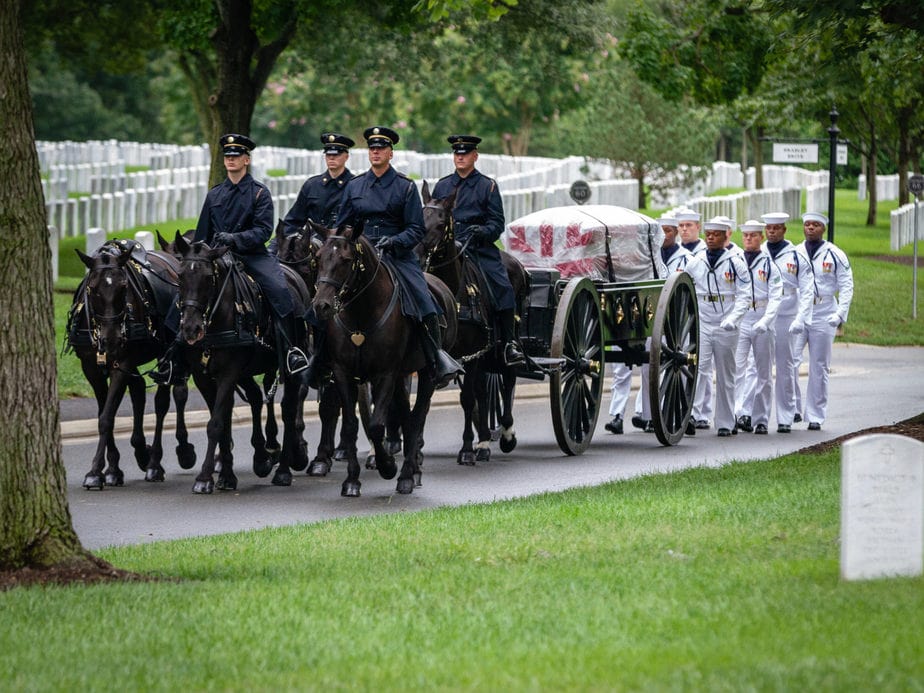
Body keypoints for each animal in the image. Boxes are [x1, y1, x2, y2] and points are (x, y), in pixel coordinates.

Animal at [69, 241, 198, 490]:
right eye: (93, 288)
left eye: (123, 287)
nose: (111, 339)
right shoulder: (91, 368)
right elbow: (104, 412)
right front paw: (112, 469)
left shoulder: (122, 363)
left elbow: (107, 416)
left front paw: (96, 471)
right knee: (139, 391)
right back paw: (142, 452)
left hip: (167, 353)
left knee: (162, 403)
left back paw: (156, 463)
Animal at [173, 232, 314, 492]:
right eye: (180, 275)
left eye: (208, 278)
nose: (190, 329)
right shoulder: (204, 377)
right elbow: (223, 422)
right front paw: (226, 475)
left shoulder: (228, 373)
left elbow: (215, 424)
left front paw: (205, 477)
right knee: (258, 398)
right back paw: (264, 457)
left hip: (289, 367)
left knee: (288, 409)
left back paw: (284, 469)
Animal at [308, 224, 456, 494]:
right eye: (319, 258)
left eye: (346, 260)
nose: (321, 305)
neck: (361, 314)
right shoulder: (344, 373)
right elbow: (351, 424)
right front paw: (352, 480)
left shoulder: (385, 373)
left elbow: (377, 425)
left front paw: (387, 466)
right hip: (401, 376)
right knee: (406, 417)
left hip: (426, 375)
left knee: (417, 417)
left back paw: (408, 474)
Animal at [418, 181, 528, 464]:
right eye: (420, 216)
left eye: (441, 223)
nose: (417, 252)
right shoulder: (452, 355)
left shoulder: (472, 352)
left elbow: (467, 398)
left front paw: (467, 448)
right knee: (483, 389)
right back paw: (485, 440)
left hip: (502, 345)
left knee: (508, 379)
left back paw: (505, 434)